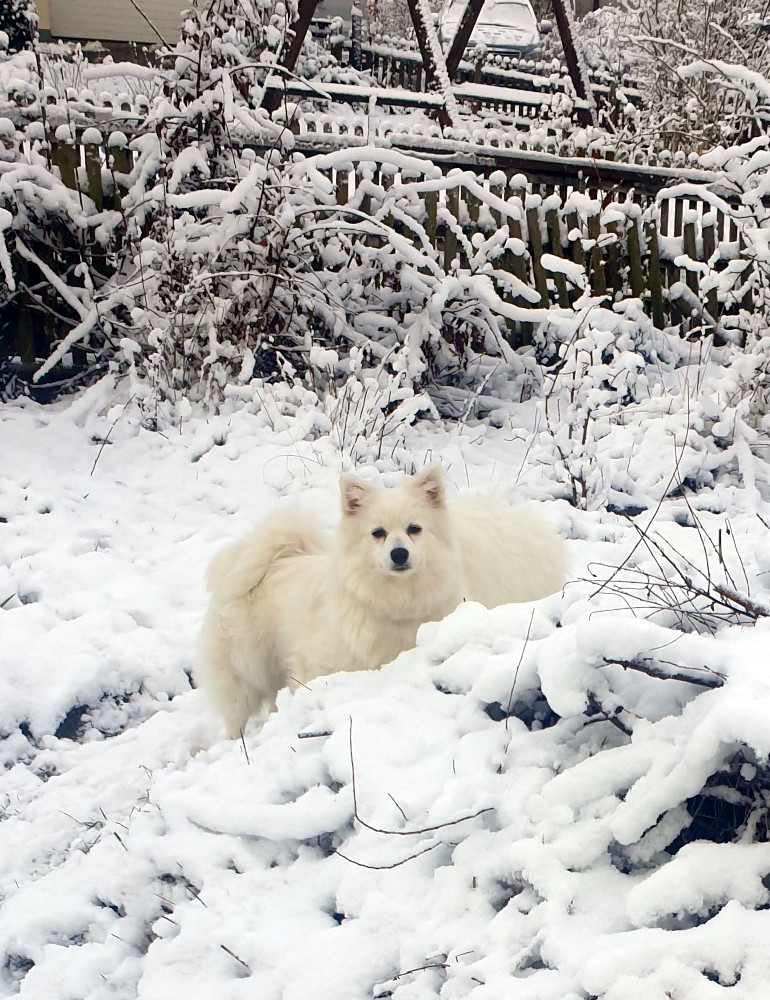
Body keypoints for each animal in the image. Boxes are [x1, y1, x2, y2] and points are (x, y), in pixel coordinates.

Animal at [192, 464, 564, 740]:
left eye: (414, 529)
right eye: (377, 533)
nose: (399, 553)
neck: (394, 602)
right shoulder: (319, 667)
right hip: (244, 674)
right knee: (236, 717)